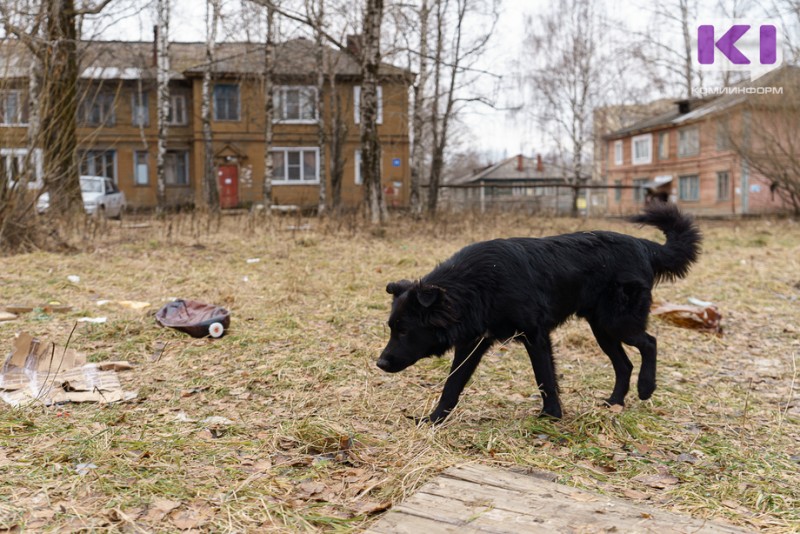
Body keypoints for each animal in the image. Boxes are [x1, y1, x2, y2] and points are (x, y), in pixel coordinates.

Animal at [378, 205, 696, 428]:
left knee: (649, 342)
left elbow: (545, 377)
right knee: (625, 364)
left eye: (404, 330)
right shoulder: (472, 344)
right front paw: (434, 420)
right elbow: (452, 384)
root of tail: (645, 245)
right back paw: (614, 402)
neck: (476, 286)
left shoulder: (535, 335)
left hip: (617, 322)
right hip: (602, 328)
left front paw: (551, 416)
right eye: (392, 328)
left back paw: (646, 387)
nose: (380, 363)